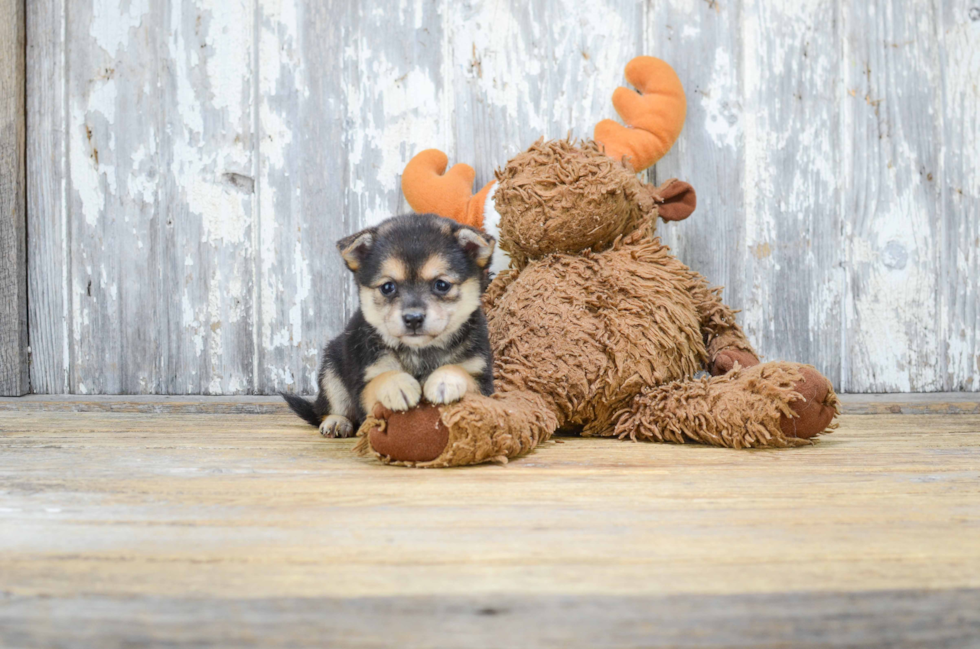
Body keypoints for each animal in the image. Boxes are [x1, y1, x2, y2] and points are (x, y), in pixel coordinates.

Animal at [284, 215, 498, 438]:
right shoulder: (364, 383)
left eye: (442, 285)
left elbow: (460, 371)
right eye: (388, 287)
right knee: (329, 407)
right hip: (331, 367)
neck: (419, 352)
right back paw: (337, 421)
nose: (413, 318)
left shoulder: (484, 383)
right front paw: (398, 385)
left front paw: (445, 380)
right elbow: (381, 378)